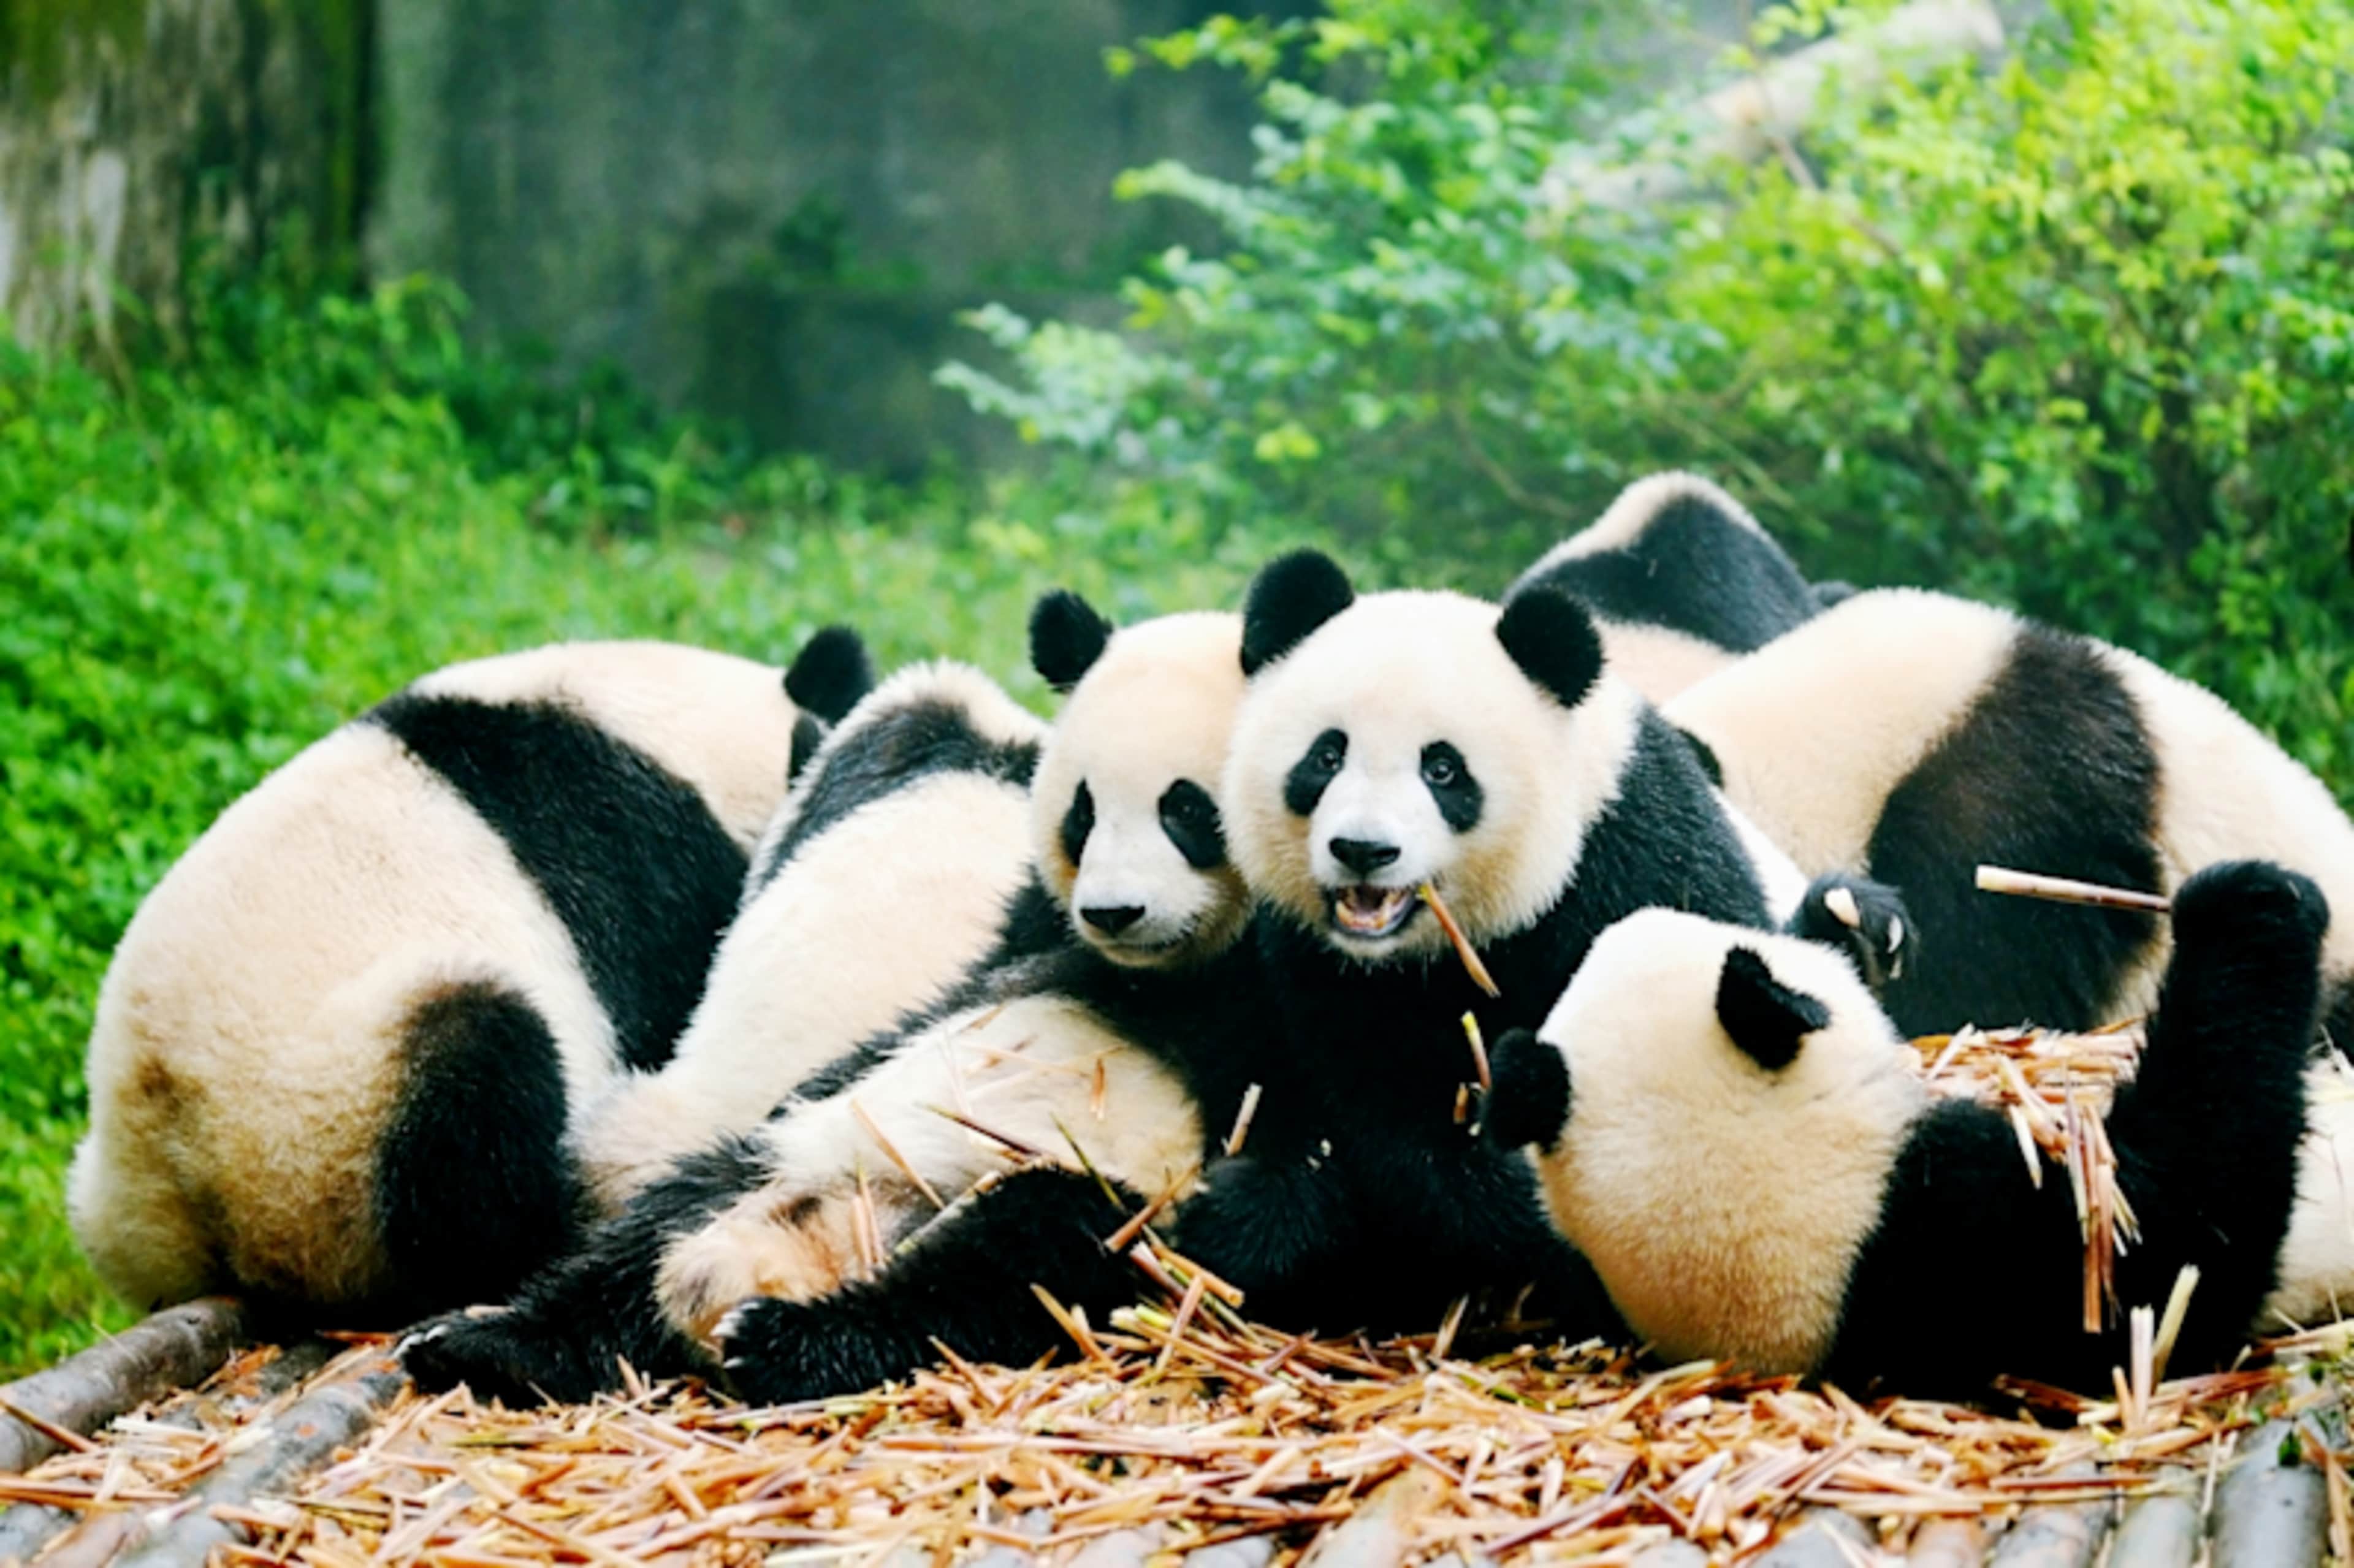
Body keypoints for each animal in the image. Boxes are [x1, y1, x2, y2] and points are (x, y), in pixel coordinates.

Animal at [1168, 550, 1898, 1333]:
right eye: (1326, 755)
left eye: (1442, 768)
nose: (1364, 849)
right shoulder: (1318, 966)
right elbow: (1395, 1118)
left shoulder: (1633, 854)